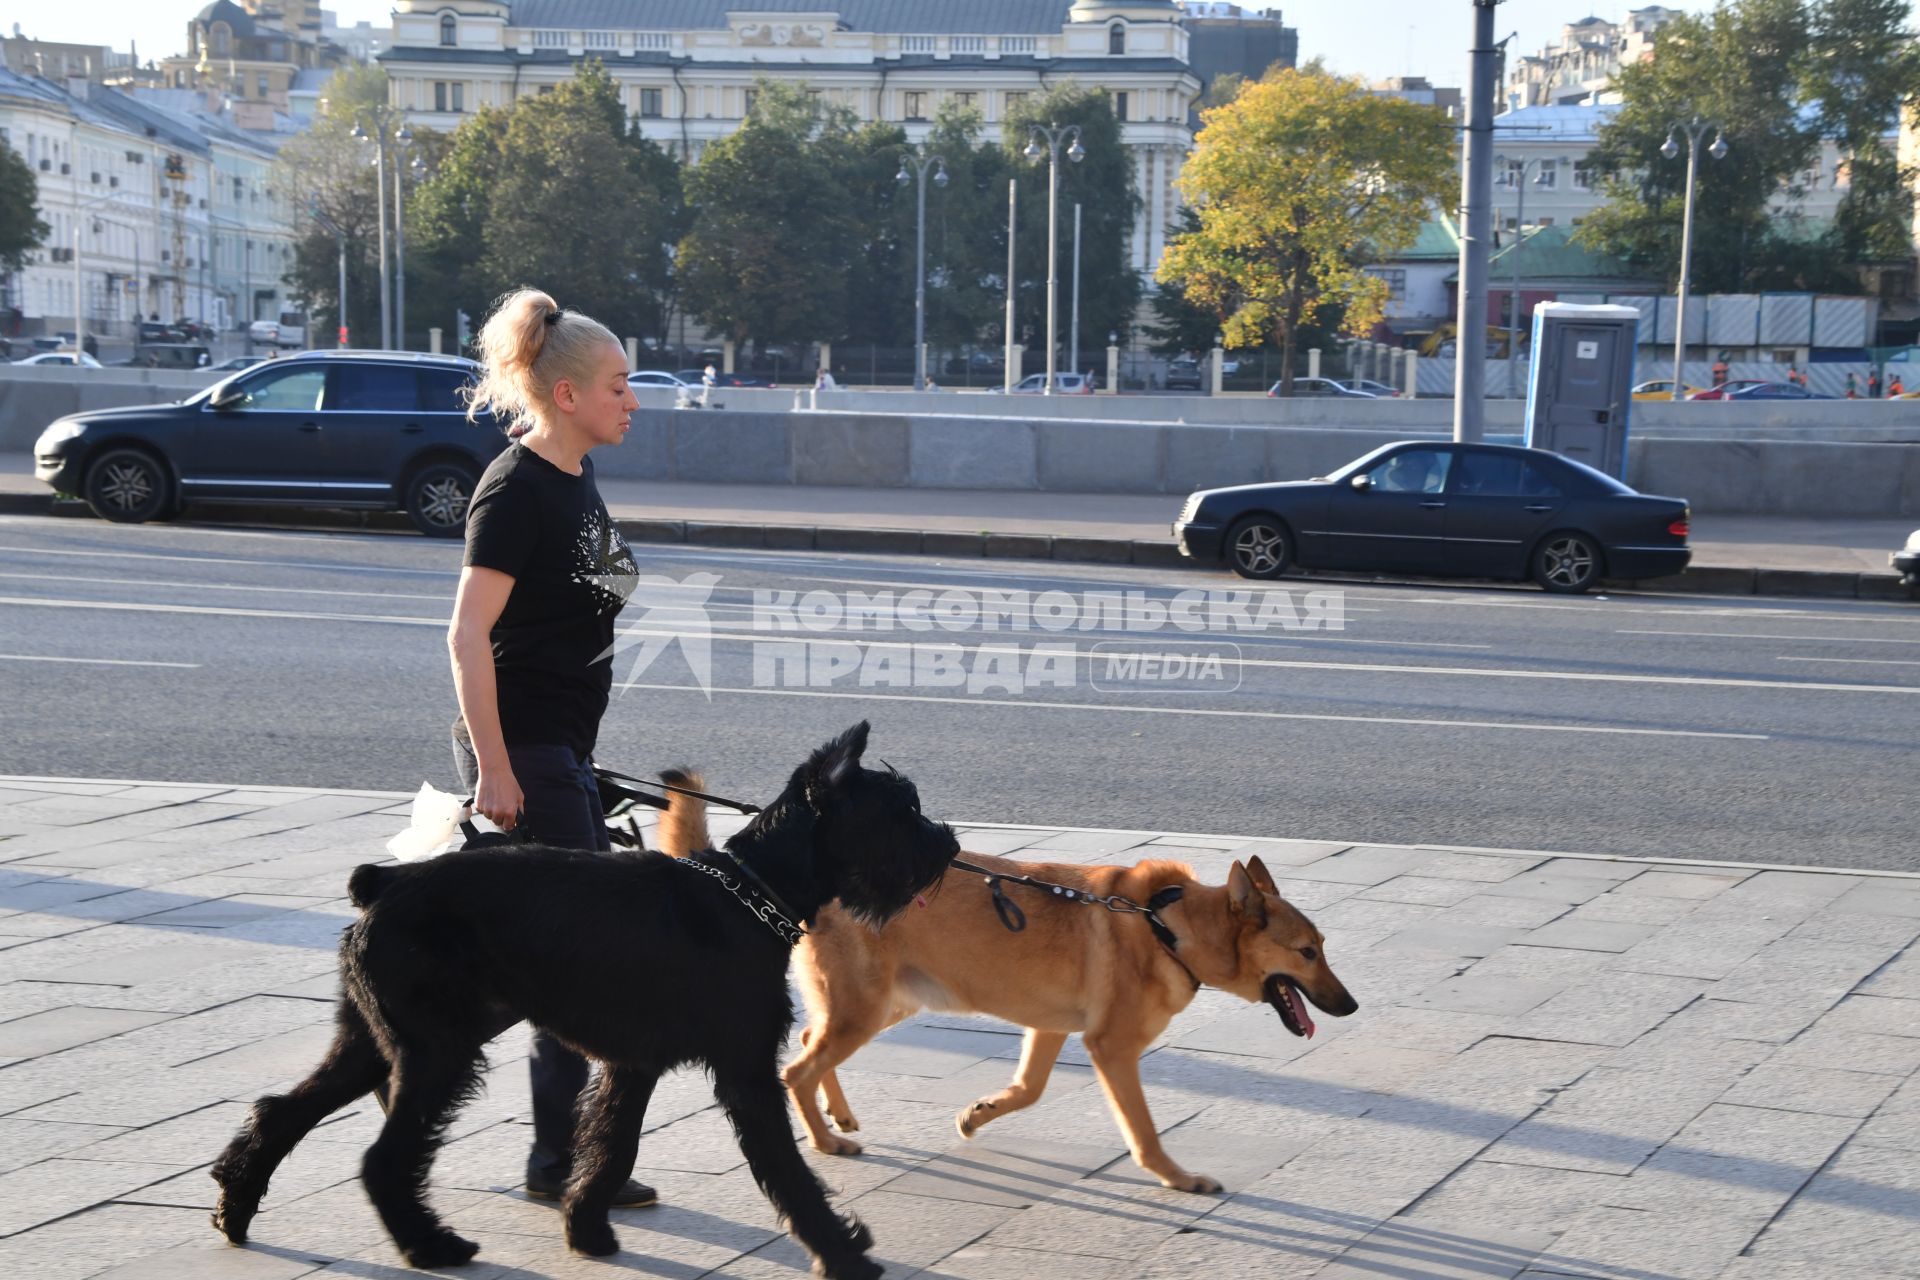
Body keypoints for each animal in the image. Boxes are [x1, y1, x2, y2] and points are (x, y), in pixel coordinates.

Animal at [210, 725, 960, 1274]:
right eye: (902, 810)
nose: (948, 843)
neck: (751, 892)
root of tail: (380, 885)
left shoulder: (634, 1064)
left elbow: (610, 1145)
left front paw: (587, 1231)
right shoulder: (746, 1071)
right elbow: (785, 1167)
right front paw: (842, 1251)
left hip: (373, 1041)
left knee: (282, 1110)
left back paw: (235, 1210)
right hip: (437, 1053)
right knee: (384, 1159)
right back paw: (430, 1245)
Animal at [656, 786, 1351, 1197]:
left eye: (1323, 947)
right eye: (1307, 953)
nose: (1351, 1006)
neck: (1167, 926)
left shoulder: (1051, 1029)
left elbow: (1026, 1090)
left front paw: (976, 1114)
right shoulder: (1110, 1047)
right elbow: (1145, 1132)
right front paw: (1176, 1178)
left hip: (883, 1006)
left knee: (807, 1039)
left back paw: (838, 1114)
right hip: (866, 1011)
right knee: (796, 1067)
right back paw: (828, 1140)